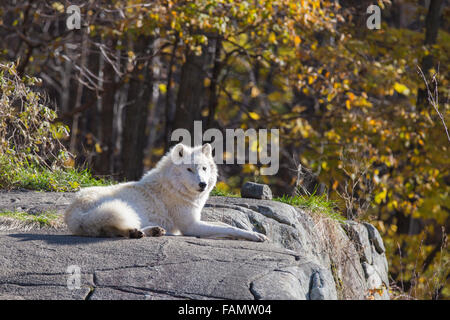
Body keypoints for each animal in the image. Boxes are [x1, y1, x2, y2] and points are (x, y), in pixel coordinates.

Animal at [63, 144, 268, 241]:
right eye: (189, 170)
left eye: (203, 168)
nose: (202, 184)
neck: (173, 188)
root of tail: (73, 212)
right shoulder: (191, 226)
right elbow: (229, 227)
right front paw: (256, 236)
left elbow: (224, 224)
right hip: (123, 208)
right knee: (111, 229)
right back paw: (140, 232)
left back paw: (149, 231)